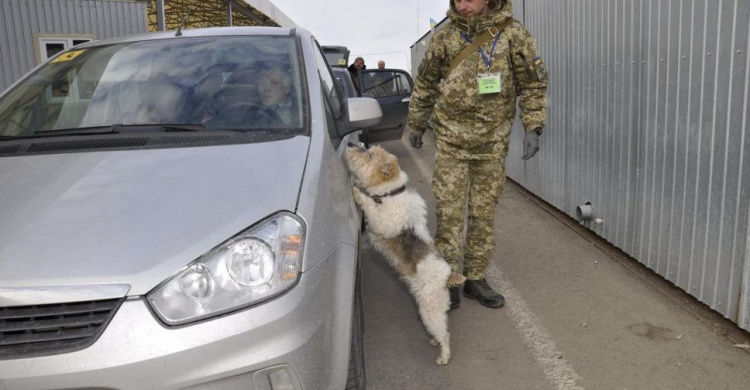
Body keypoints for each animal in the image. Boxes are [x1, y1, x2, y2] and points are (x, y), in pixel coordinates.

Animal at [346, 144, 464, 366]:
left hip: (429, 309)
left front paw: (356, 188)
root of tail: (448, 276)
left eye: (370, 155)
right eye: (368, 149)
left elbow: (369, 204)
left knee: (445, 334)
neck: (390, 193)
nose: (350, 145)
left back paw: (443, 356)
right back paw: (434, 341)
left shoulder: (383, 222)